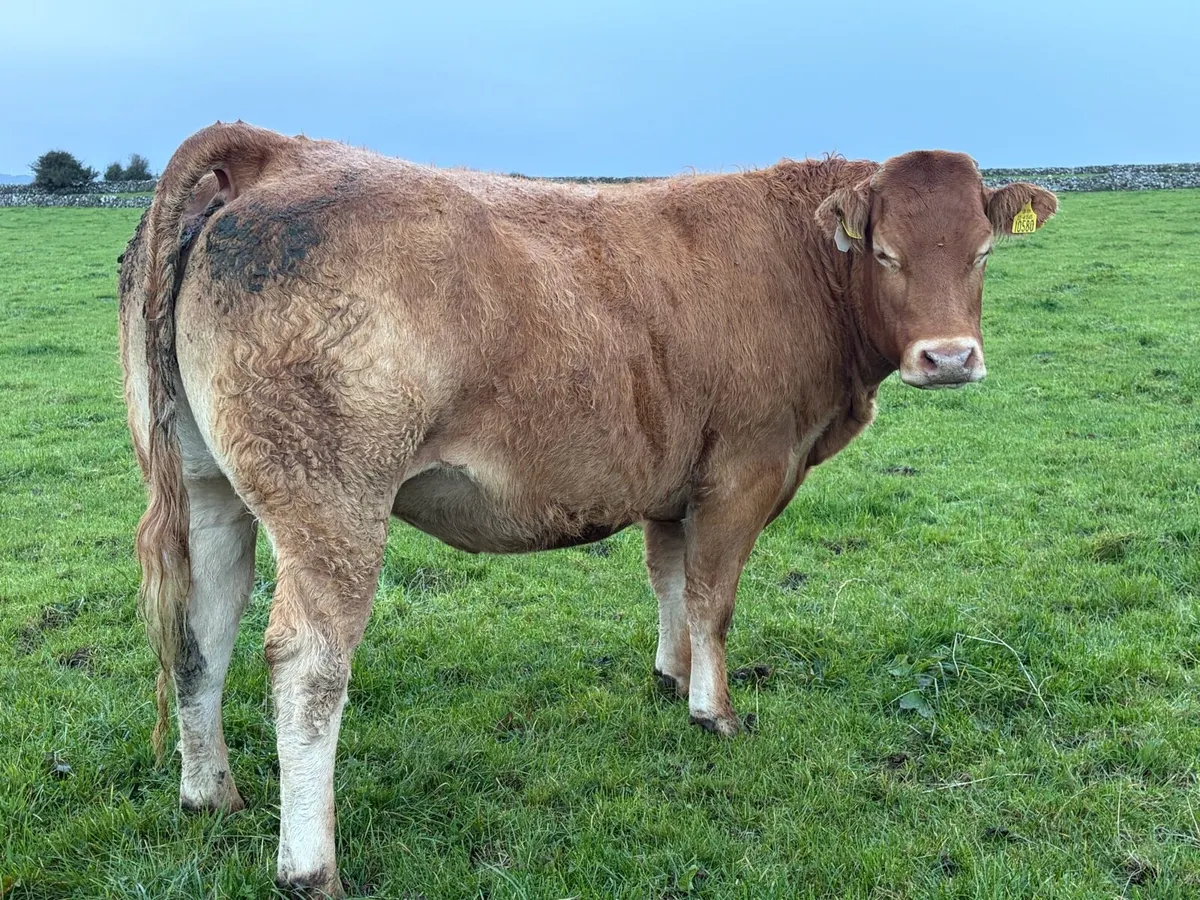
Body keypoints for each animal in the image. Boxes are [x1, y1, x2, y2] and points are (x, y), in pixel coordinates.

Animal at [118, 120, 1056, 895]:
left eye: (982, 252)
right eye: (887, 253)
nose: (948, 358)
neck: (801, 267)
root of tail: (273, 150)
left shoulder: (672, 479)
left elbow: (669, 579)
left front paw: (671, 675)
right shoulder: (746, 469)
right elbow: (714, 596)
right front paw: (714, 710)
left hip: (208, 489)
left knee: (201, 632)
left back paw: (209, 794)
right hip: (334, 502)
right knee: (308, 665)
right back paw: (310, 867)